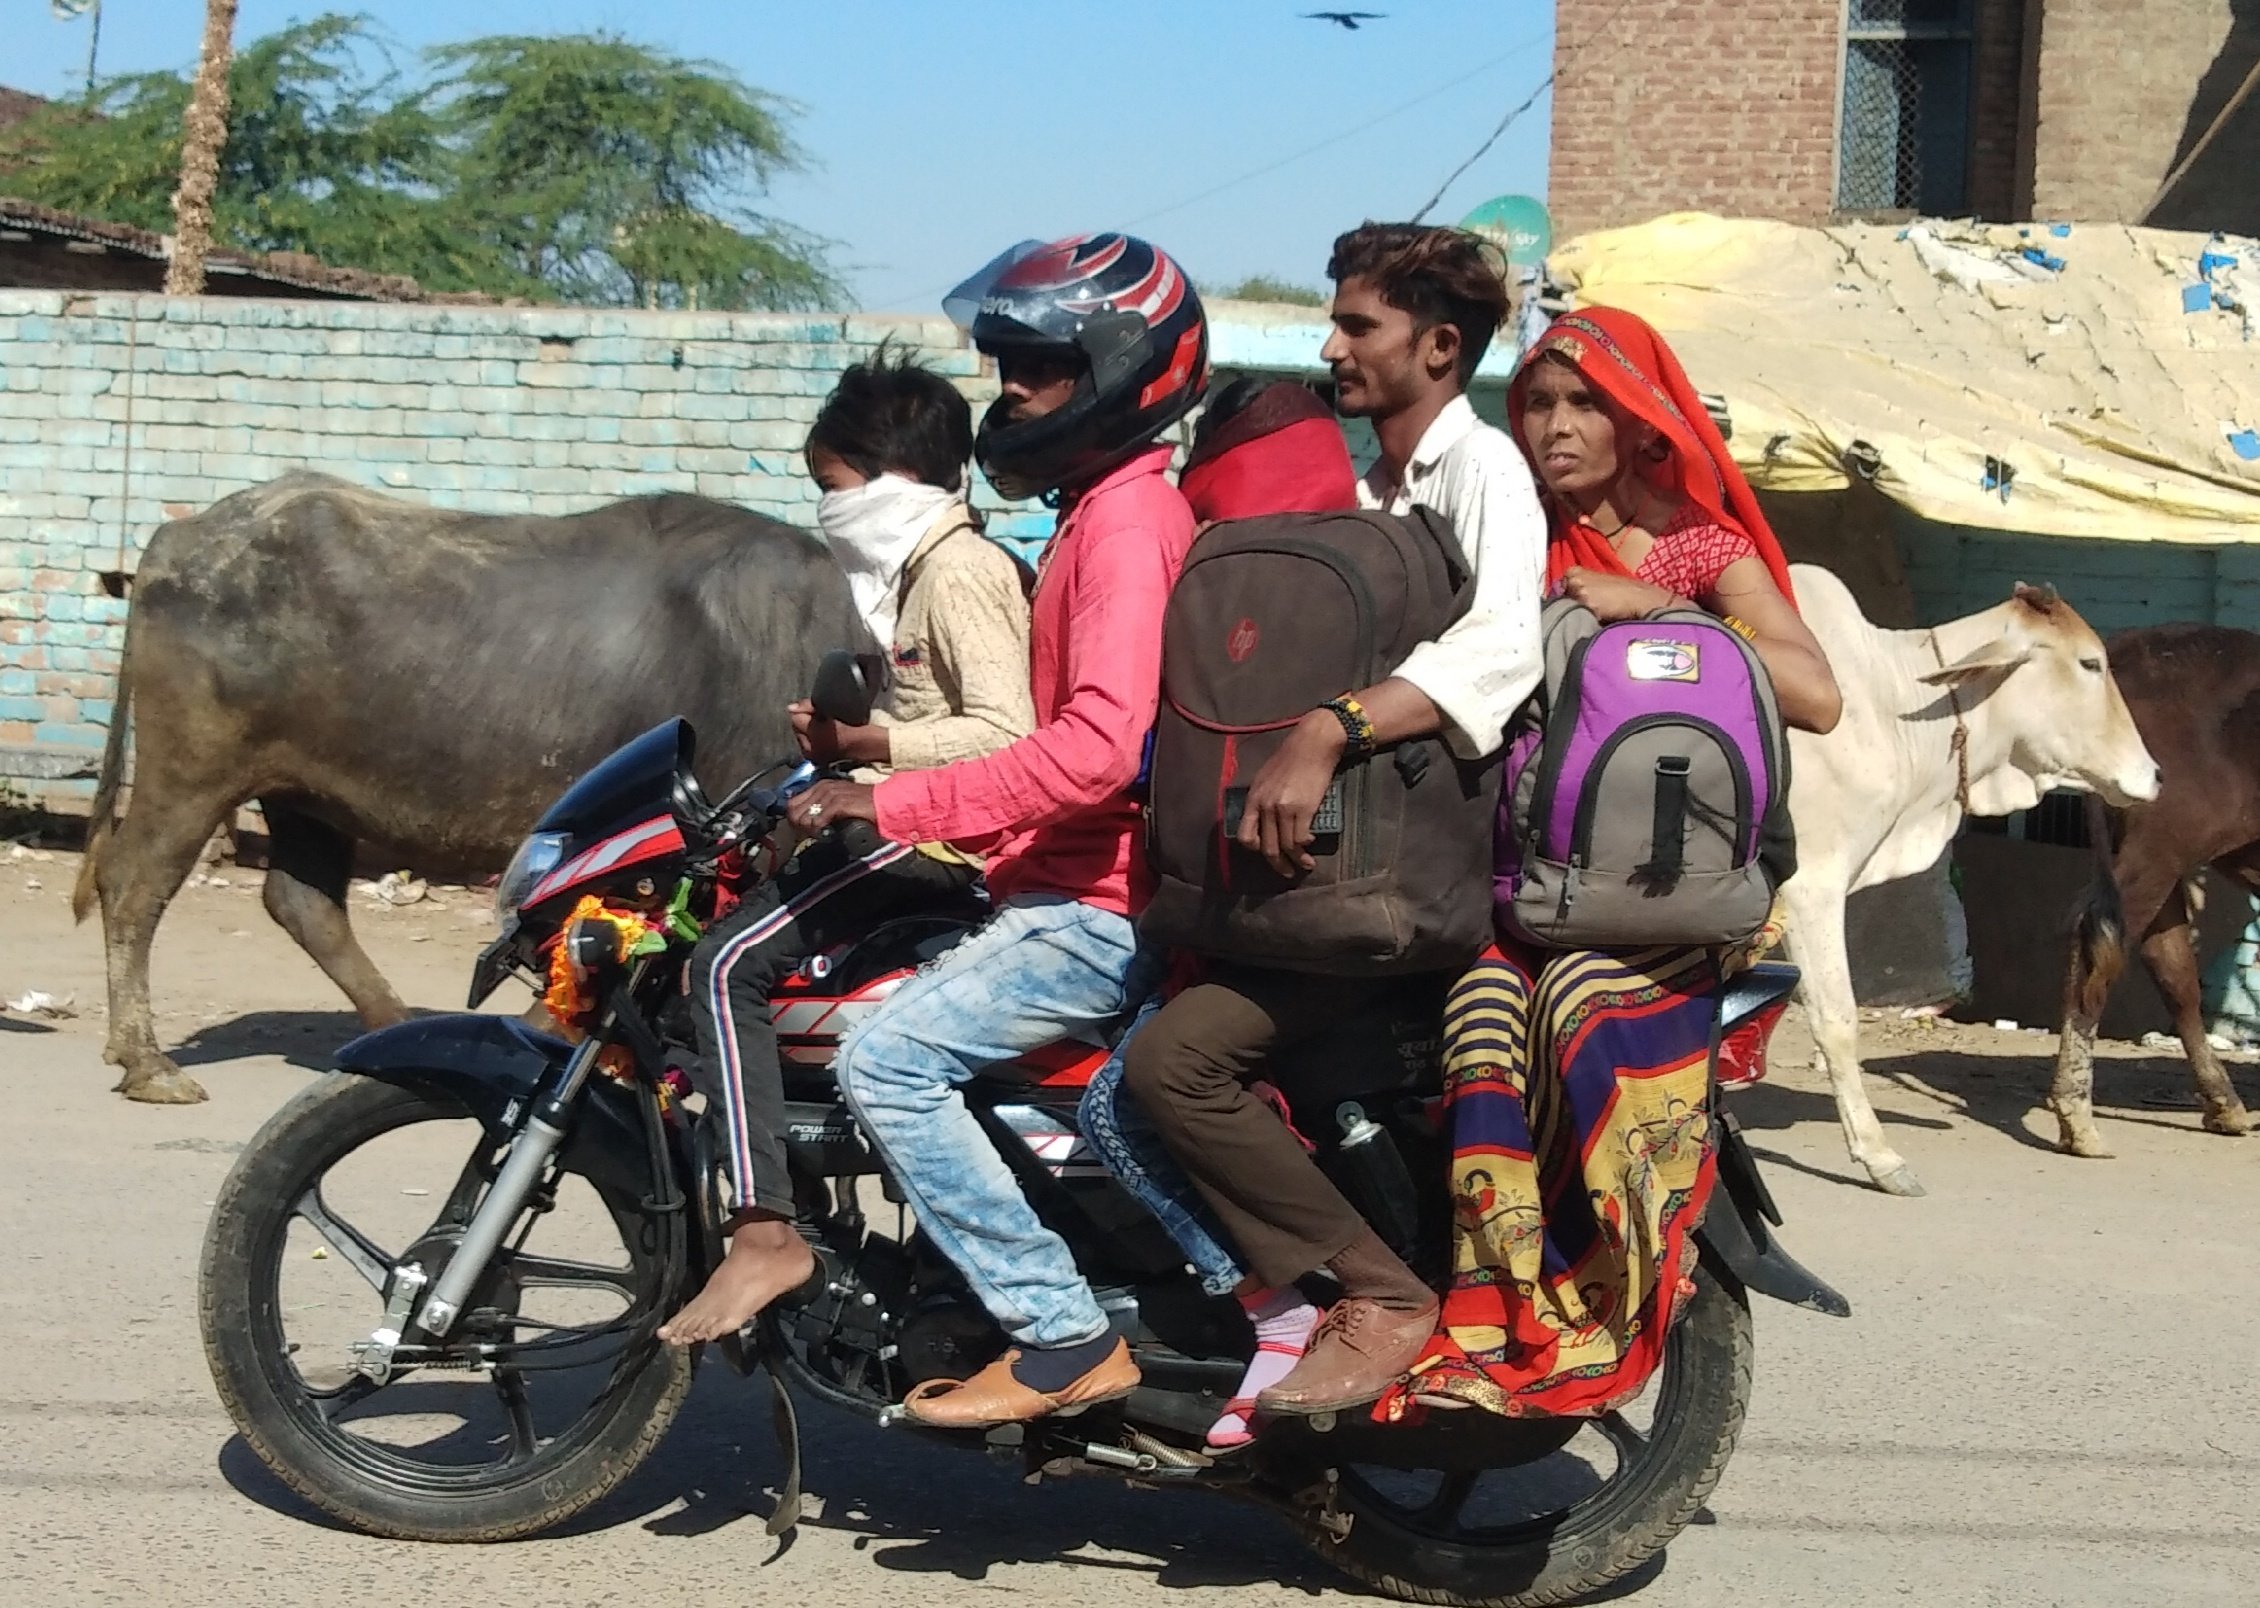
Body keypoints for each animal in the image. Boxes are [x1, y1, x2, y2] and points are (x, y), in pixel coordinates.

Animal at [1780, 564, 2151, 1192]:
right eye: (2090, 663)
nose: (2154, 775)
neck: (1884, 702)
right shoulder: (1810, 886)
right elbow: (1837, 1020)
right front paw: (1880, 1157)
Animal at [2052, 618, 2260, 1156]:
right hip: (2158, 852)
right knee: (2096, 948)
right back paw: (2076, 1114)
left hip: (2153, 859)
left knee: (2172, 971)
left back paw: (2223, 1103)